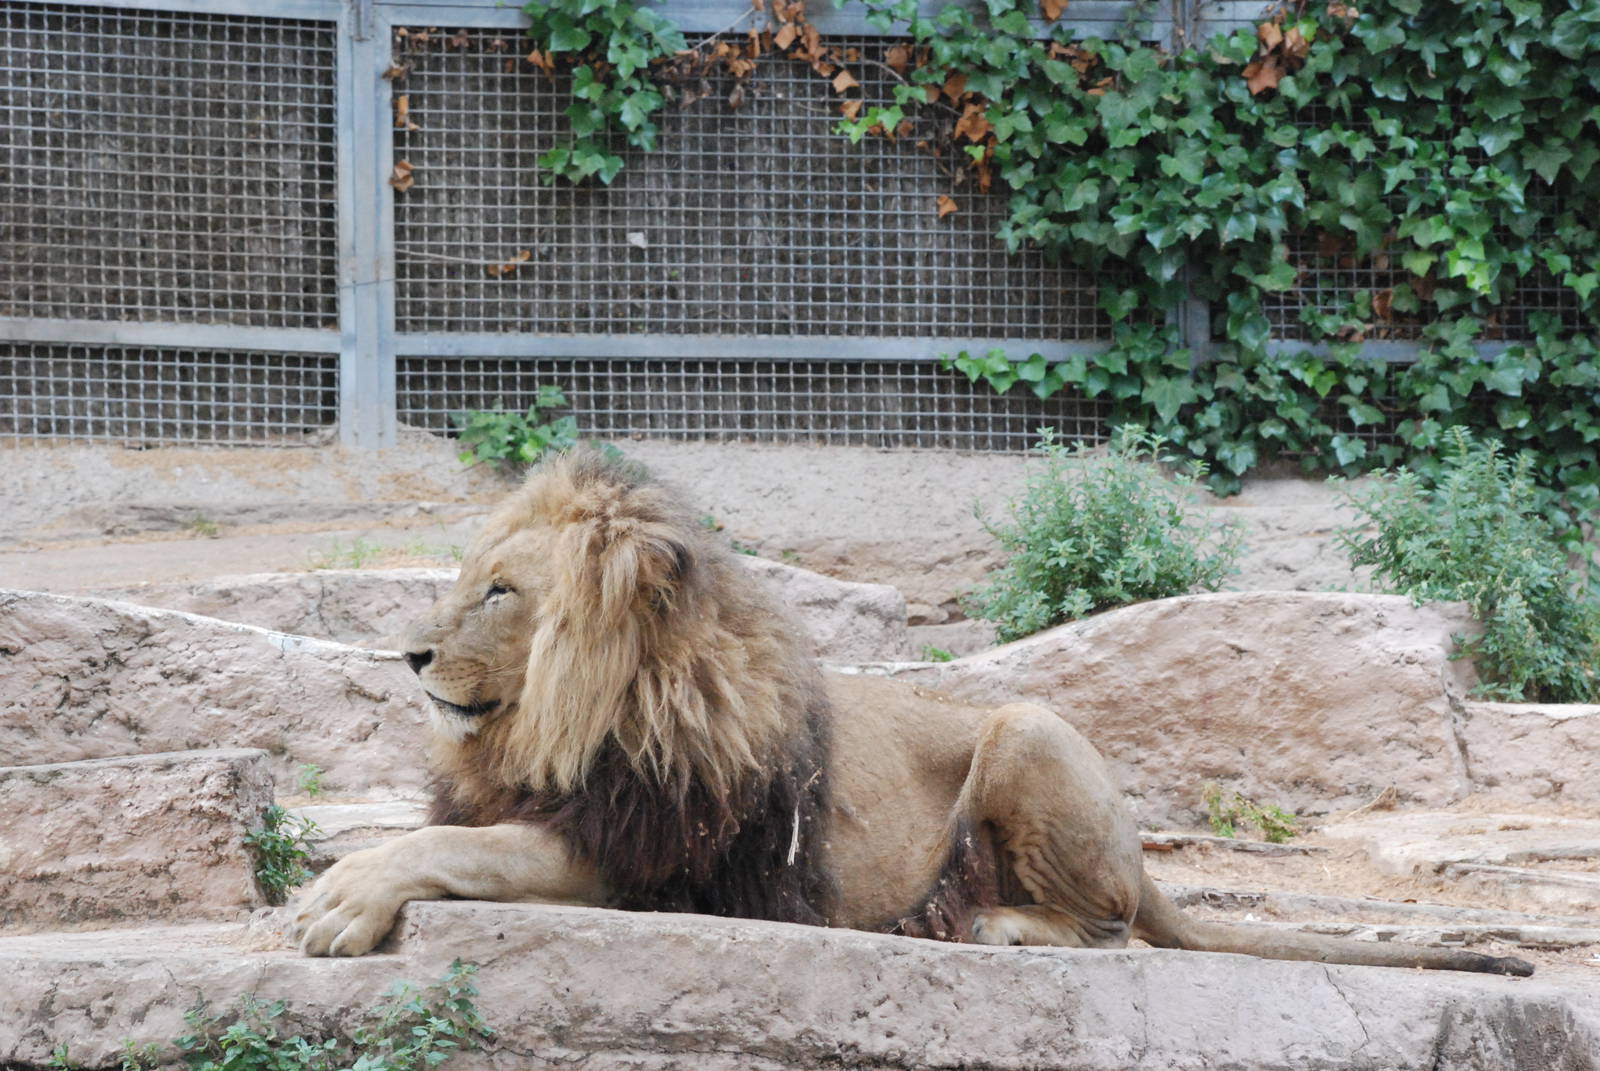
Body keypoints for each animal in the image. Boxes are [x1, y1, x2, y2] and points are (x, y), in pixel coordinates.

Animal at [292, 449, 1532, 976]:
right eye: (466, 582)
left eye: (501, 593)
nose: (408, 654)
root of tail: (1143, 855)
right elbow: (443, 828)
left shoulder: (653, 851)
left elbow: (469, 848)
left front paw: (338, 901)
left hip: (1028, 731)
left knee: (1110, 925)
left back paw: (997, 926)